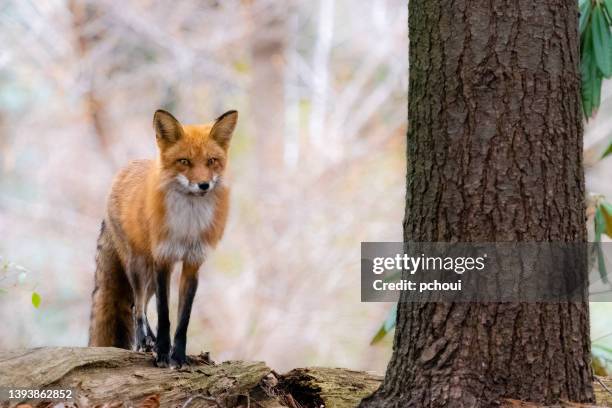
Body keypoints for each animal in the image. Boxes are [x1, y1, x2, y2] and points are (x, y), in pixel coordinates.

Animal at [88, 107, 237, 366]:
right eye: (184, 161)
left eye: (211, 161)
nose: (204, 185)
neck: (187, 223)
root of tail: (126, 168)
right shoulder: (163, 259)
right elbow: (164, 314)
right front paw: (163, 354)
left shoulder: (192, 263)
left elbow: (183, 319)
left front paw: (178, 356)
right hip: (139, 266)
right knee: (137, 306)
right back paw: (144, 342)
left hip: (149, 273)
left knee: (139, 304)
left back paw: (151, 340)